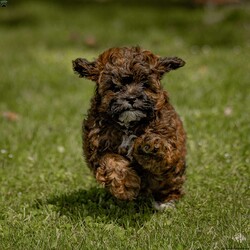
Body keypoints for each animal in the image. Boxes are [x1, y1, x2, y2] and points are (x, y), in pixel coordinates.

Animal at [72, 46, 186, 209]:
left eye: (145, 84)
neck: (128, 125)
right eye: (115, 87)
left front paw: (151, 146)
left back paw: (166, 202)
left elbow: (163, 150)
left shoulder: (169, 136)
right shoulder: (97, 147)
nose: (131, 98)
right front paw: (126, 185)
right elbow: (111, 161)